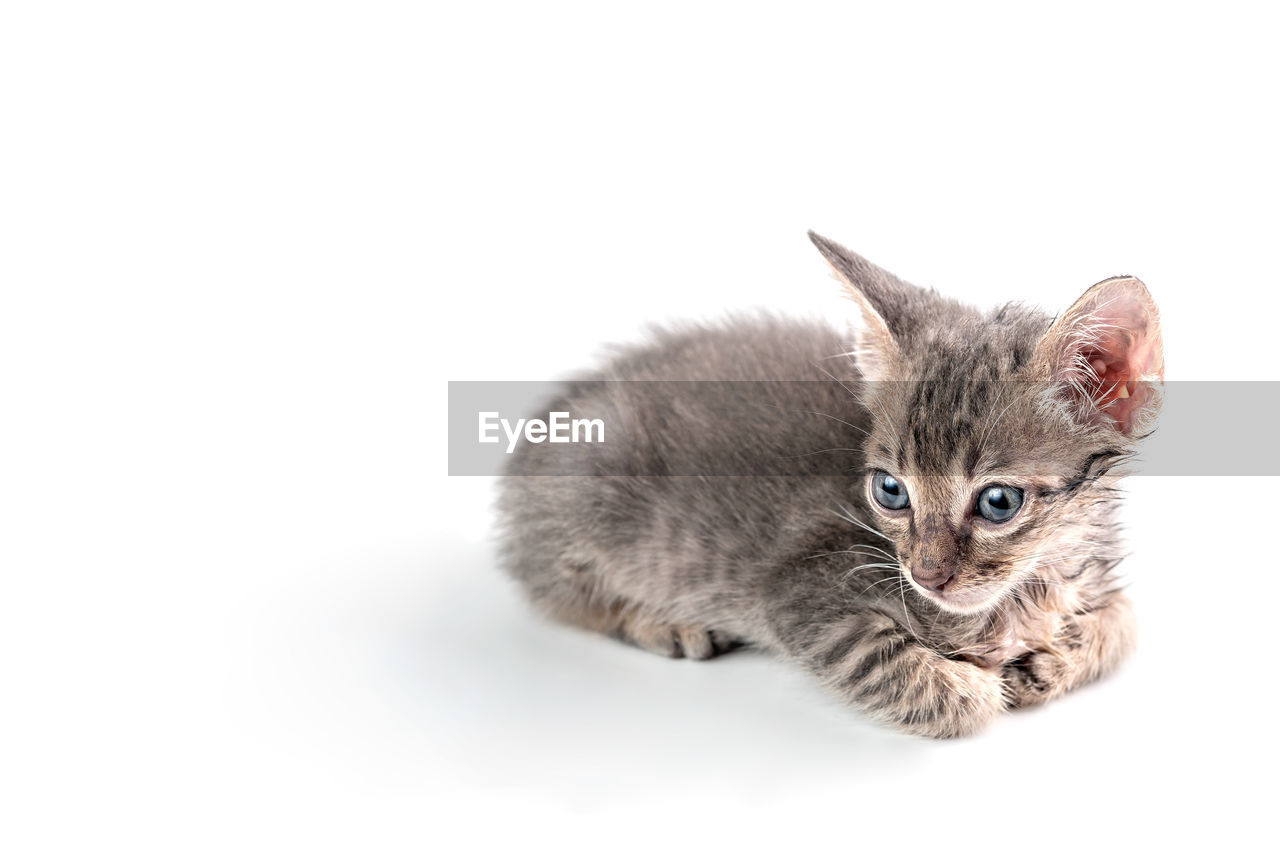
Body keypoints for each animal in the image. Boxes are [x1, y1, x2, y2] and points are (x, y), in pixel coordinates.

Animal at [494, 231, 1167, 737]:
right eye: (890, 491)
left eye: (999, 502)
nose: (925, 575)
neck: (1032, 589)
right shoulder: (805, 595)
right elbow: (949, 694)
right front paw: (981, 681)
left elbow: (1127, 622)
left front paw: (1053, 661)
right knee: (563, 594)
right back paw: (665, 624)